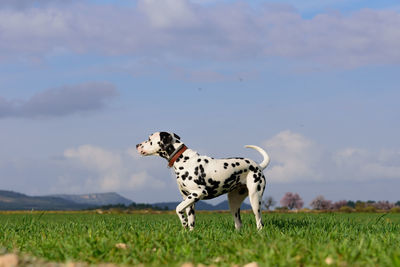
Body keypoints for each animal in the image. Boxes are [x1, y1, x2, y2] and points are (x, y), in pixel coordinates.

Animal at [136, 132, 270, 230]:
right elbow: (191, 221)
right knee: (239, 223)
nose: (137, 145)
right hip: (234, 202)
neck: (184, 160)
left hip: (255, 199)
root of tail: (258, 166)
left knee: (260, 222)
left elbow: (178, 208)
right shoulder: (189, 200)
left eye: (149, 139)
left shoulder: (198, 193)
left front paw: (183, 222)